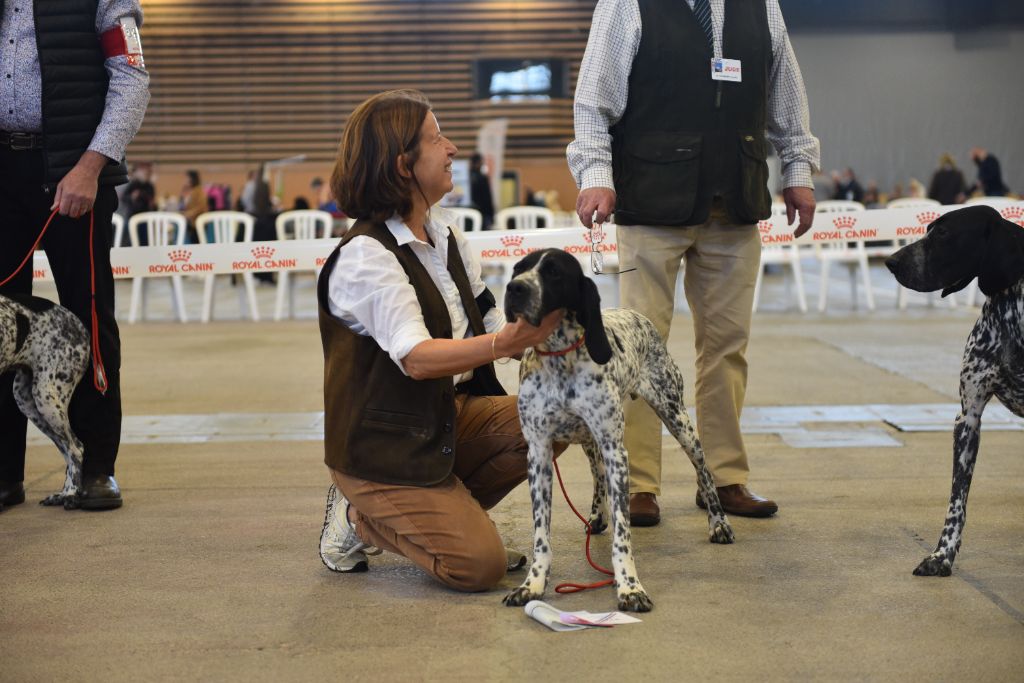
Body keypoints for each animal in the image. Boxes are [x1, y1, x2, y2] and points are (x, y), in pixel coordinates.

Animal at [0, 290, 90, 509]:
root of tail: (80, 327)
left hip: (47, 398)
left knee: (76, 449)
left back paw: (71, 494)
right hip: (28, 403)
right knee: (67, 451)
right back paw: (63, 493)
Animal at [499, 248, 733, 610]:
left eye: (553, 272)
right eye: (517, 269)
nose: (515, 289)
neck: (559, 361)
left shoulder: (615, 452)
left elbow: (623, 534)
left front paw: (629, 587)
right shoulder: (538, 455)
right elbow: (541, 534)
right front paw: (532, 584)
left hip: (676, 417)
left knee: (704, 471)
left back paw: (719, 523)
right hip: (589, 440)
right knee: (597, 477)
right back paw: (597, 516)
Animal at [884, 204, 1024, 577]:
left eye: (945, 233)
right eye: (929, 228)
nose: (891, 261)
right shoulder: (968, 419)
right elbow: (956, 502)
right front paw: (941, 556)